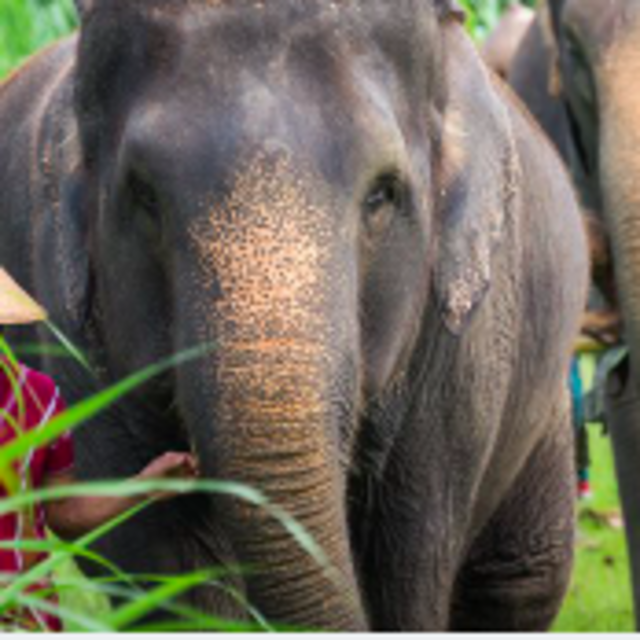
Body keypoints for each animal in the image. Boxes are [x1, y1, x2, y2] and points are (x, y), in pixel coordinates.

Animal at [0, 0, 588, 631]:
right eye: (145, 195)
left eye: (381, 195)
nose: (187, 462)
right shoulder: (71, 331)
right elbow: (169, 568)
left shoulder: (464, 345)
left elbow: (407, 570)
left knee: (520, 581)